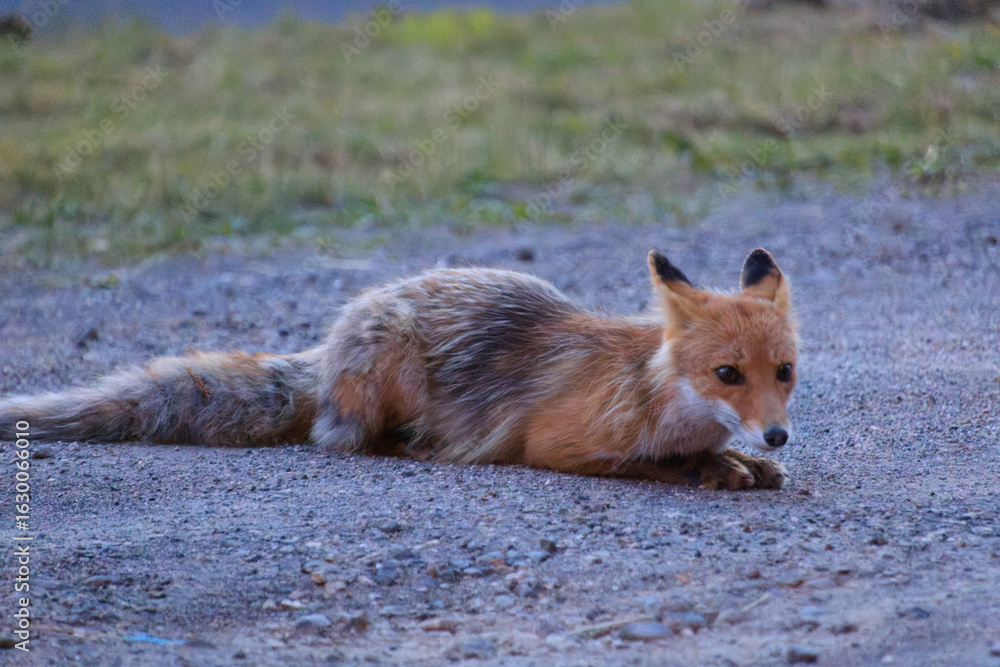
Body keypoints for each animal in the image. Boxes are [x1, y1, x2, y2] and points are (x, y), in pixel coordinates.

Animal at [0, 248, 798, 491]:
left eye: (784, 372)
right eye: (728, 374)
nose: (779, 435)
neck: (653, 394)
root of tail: (331, 341)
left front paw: (744, 460)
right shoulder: (561, 445)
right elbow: (658, 463)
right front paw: (716, 466)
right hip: (395, 378)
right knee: (343, 438)